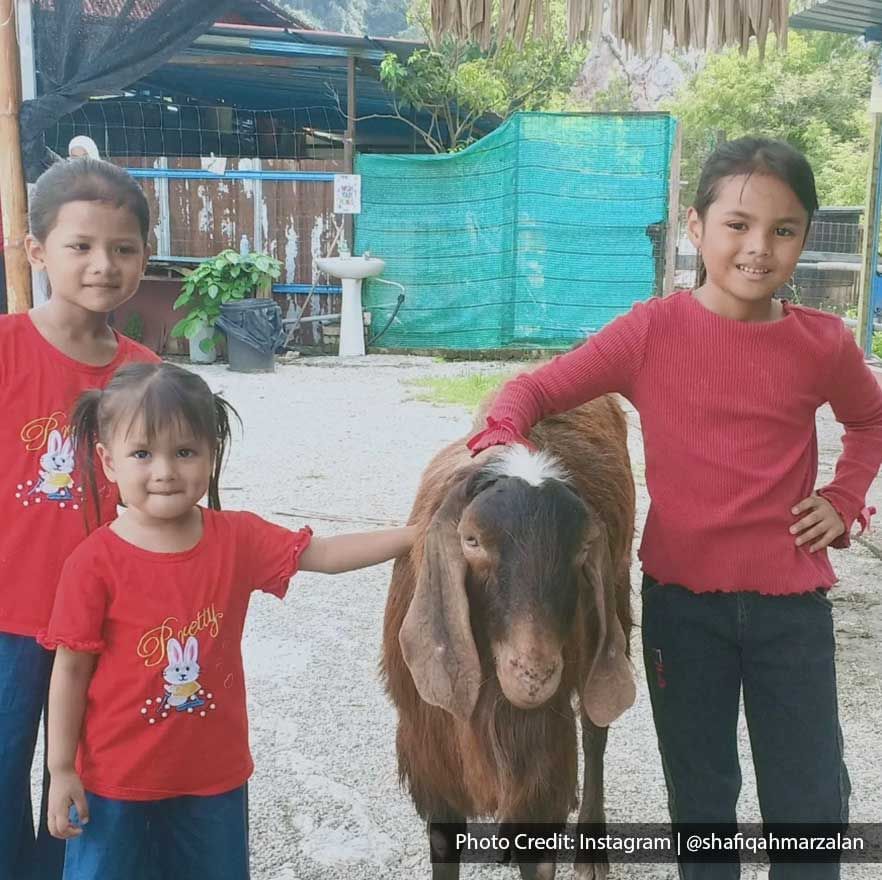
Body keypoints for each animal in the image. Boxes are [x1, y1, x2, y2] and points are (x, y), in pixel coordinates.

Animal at [382, 394, 636, 880]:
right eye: (472, 541)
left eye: (582, 549)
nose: (533, 675)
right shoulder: (431, 756)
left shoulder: (542, 754)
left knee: (595, 732)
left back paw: (591, 852)